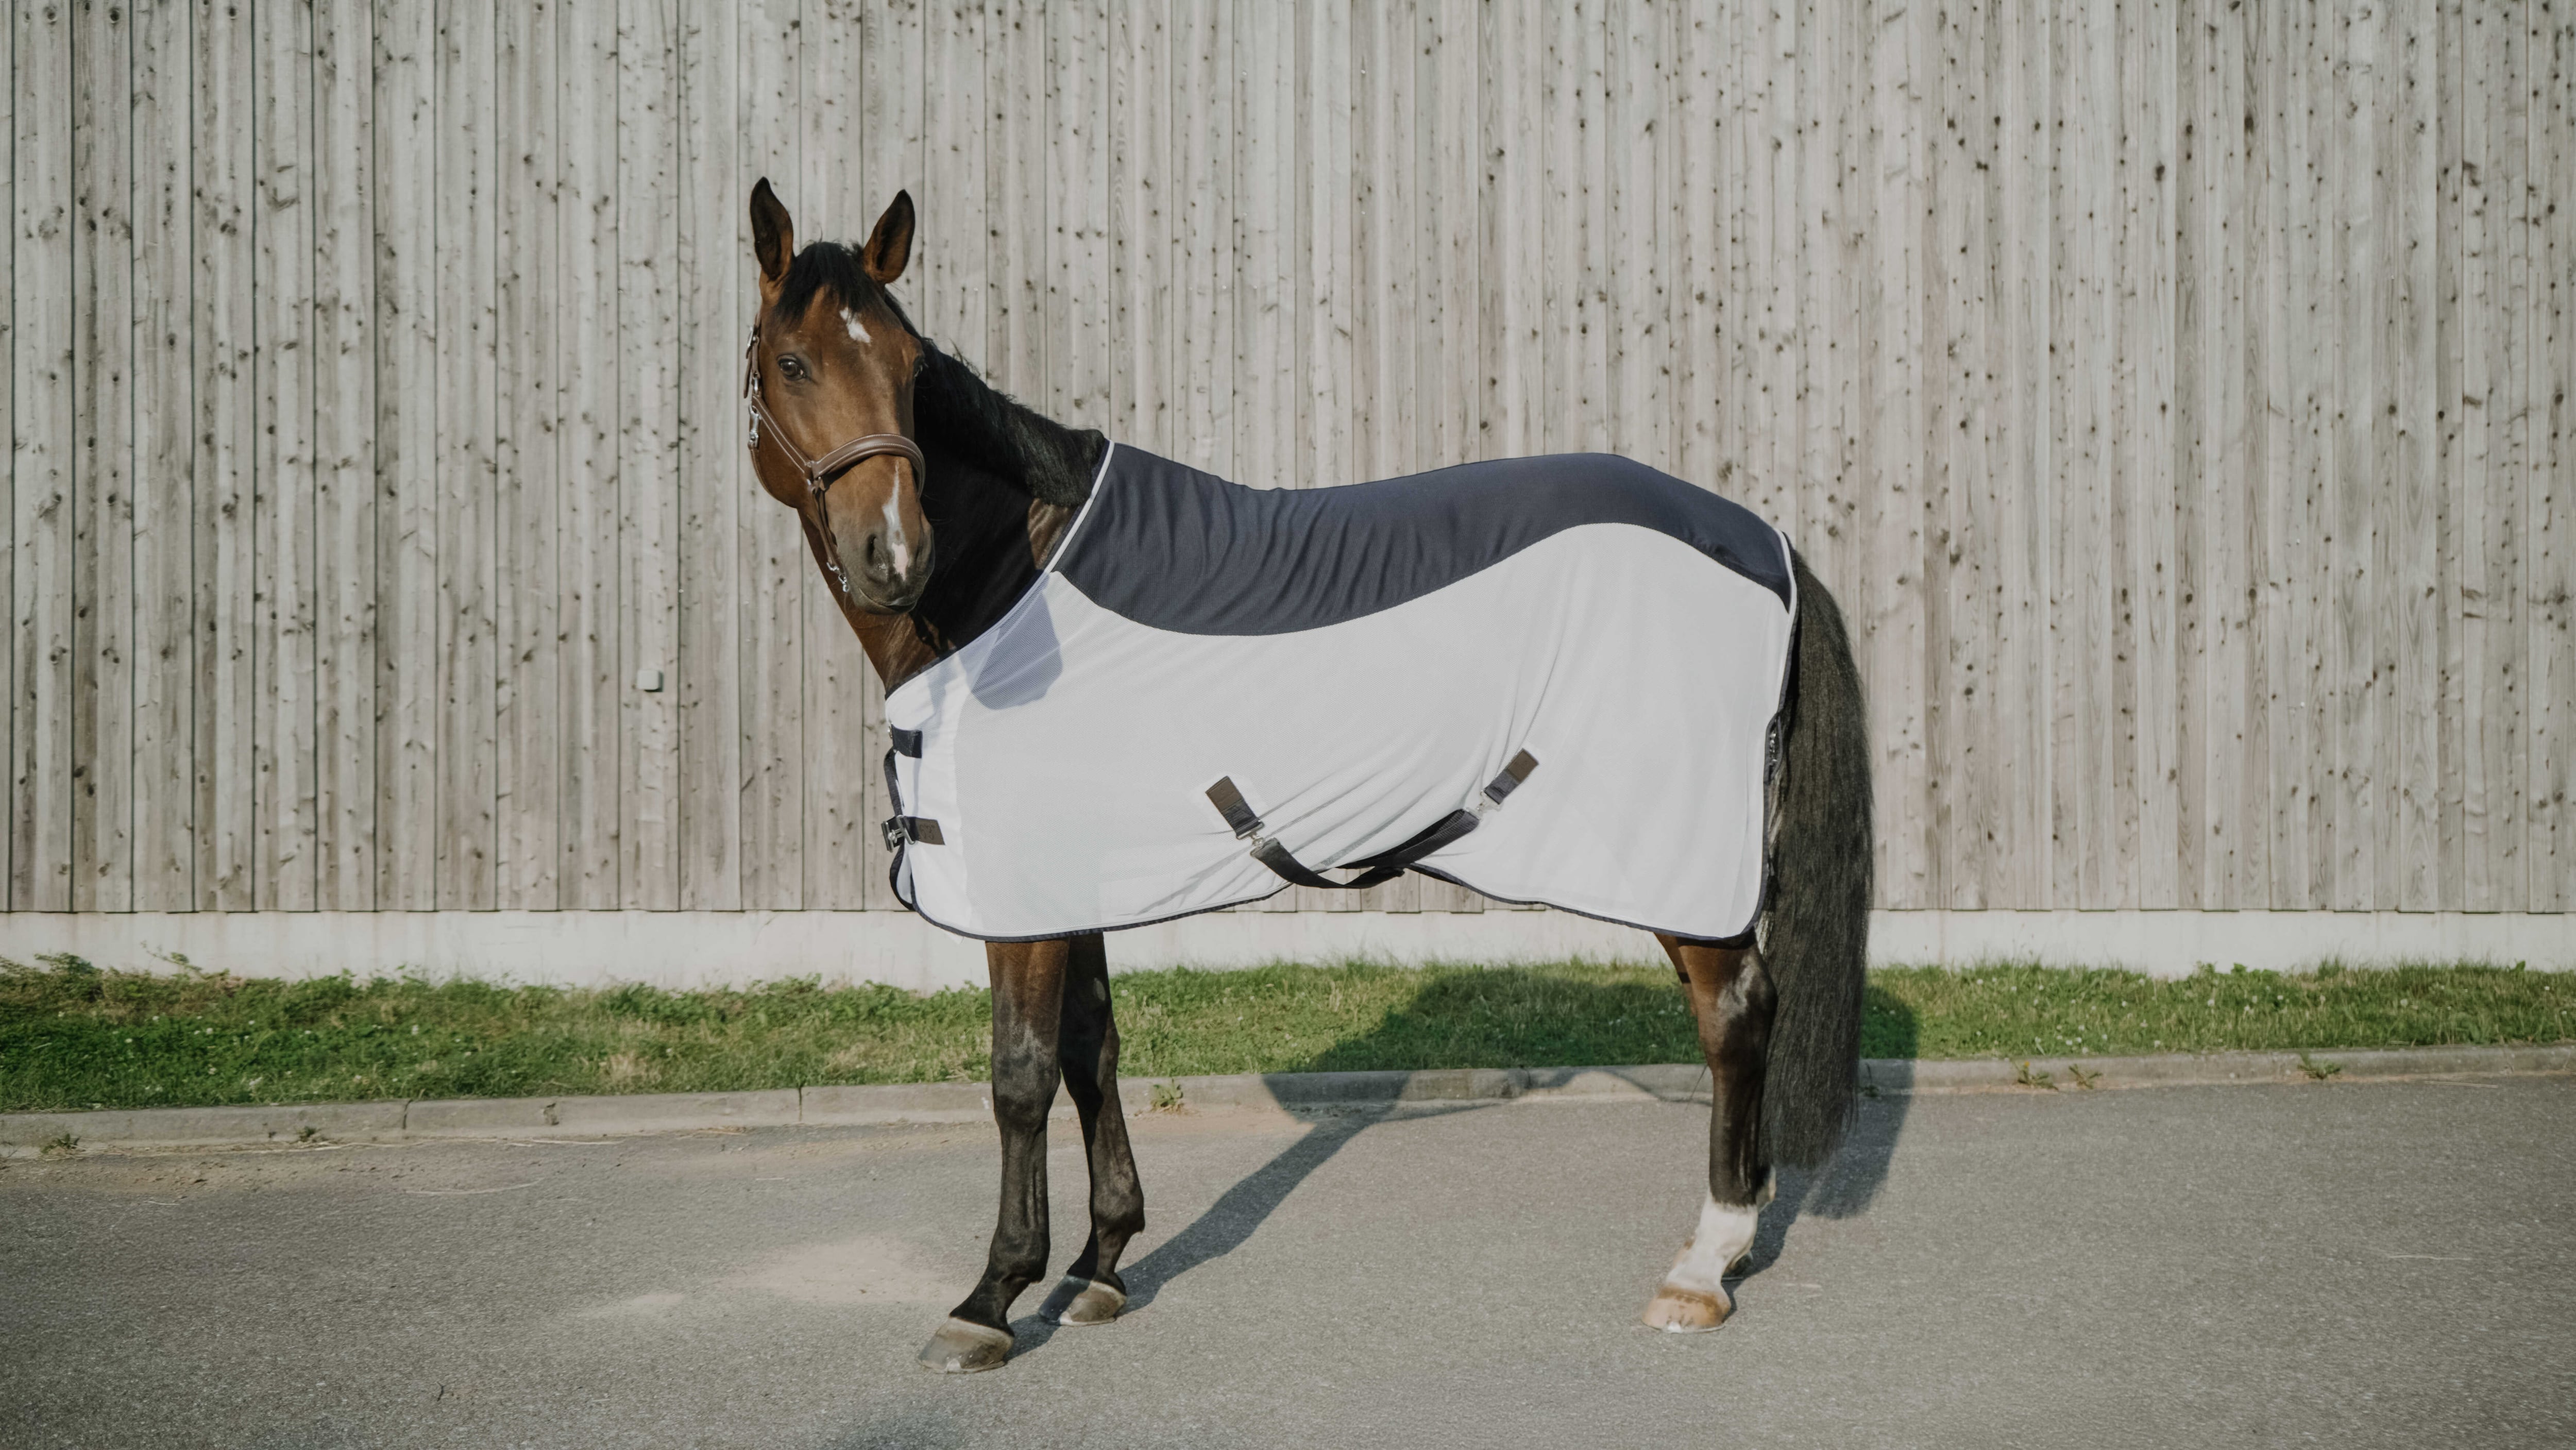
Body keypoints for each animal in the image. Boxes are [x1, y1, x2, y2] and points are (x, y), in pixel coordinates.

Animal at [739, 180, 1874, 1374]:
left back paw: (1703, 1264)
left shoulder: (1022, 896)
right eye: (793, 361)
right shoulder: (1071, 878)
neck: (1014, 572)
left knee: (1736, 1012)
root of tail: (1759, 538)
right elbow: (1094, 1052)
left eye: (911, 366)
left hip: (1678, 855)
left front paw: (992, 1296)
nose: (894, 554)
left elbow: (1020, 1075)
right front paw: (1101, 1265)